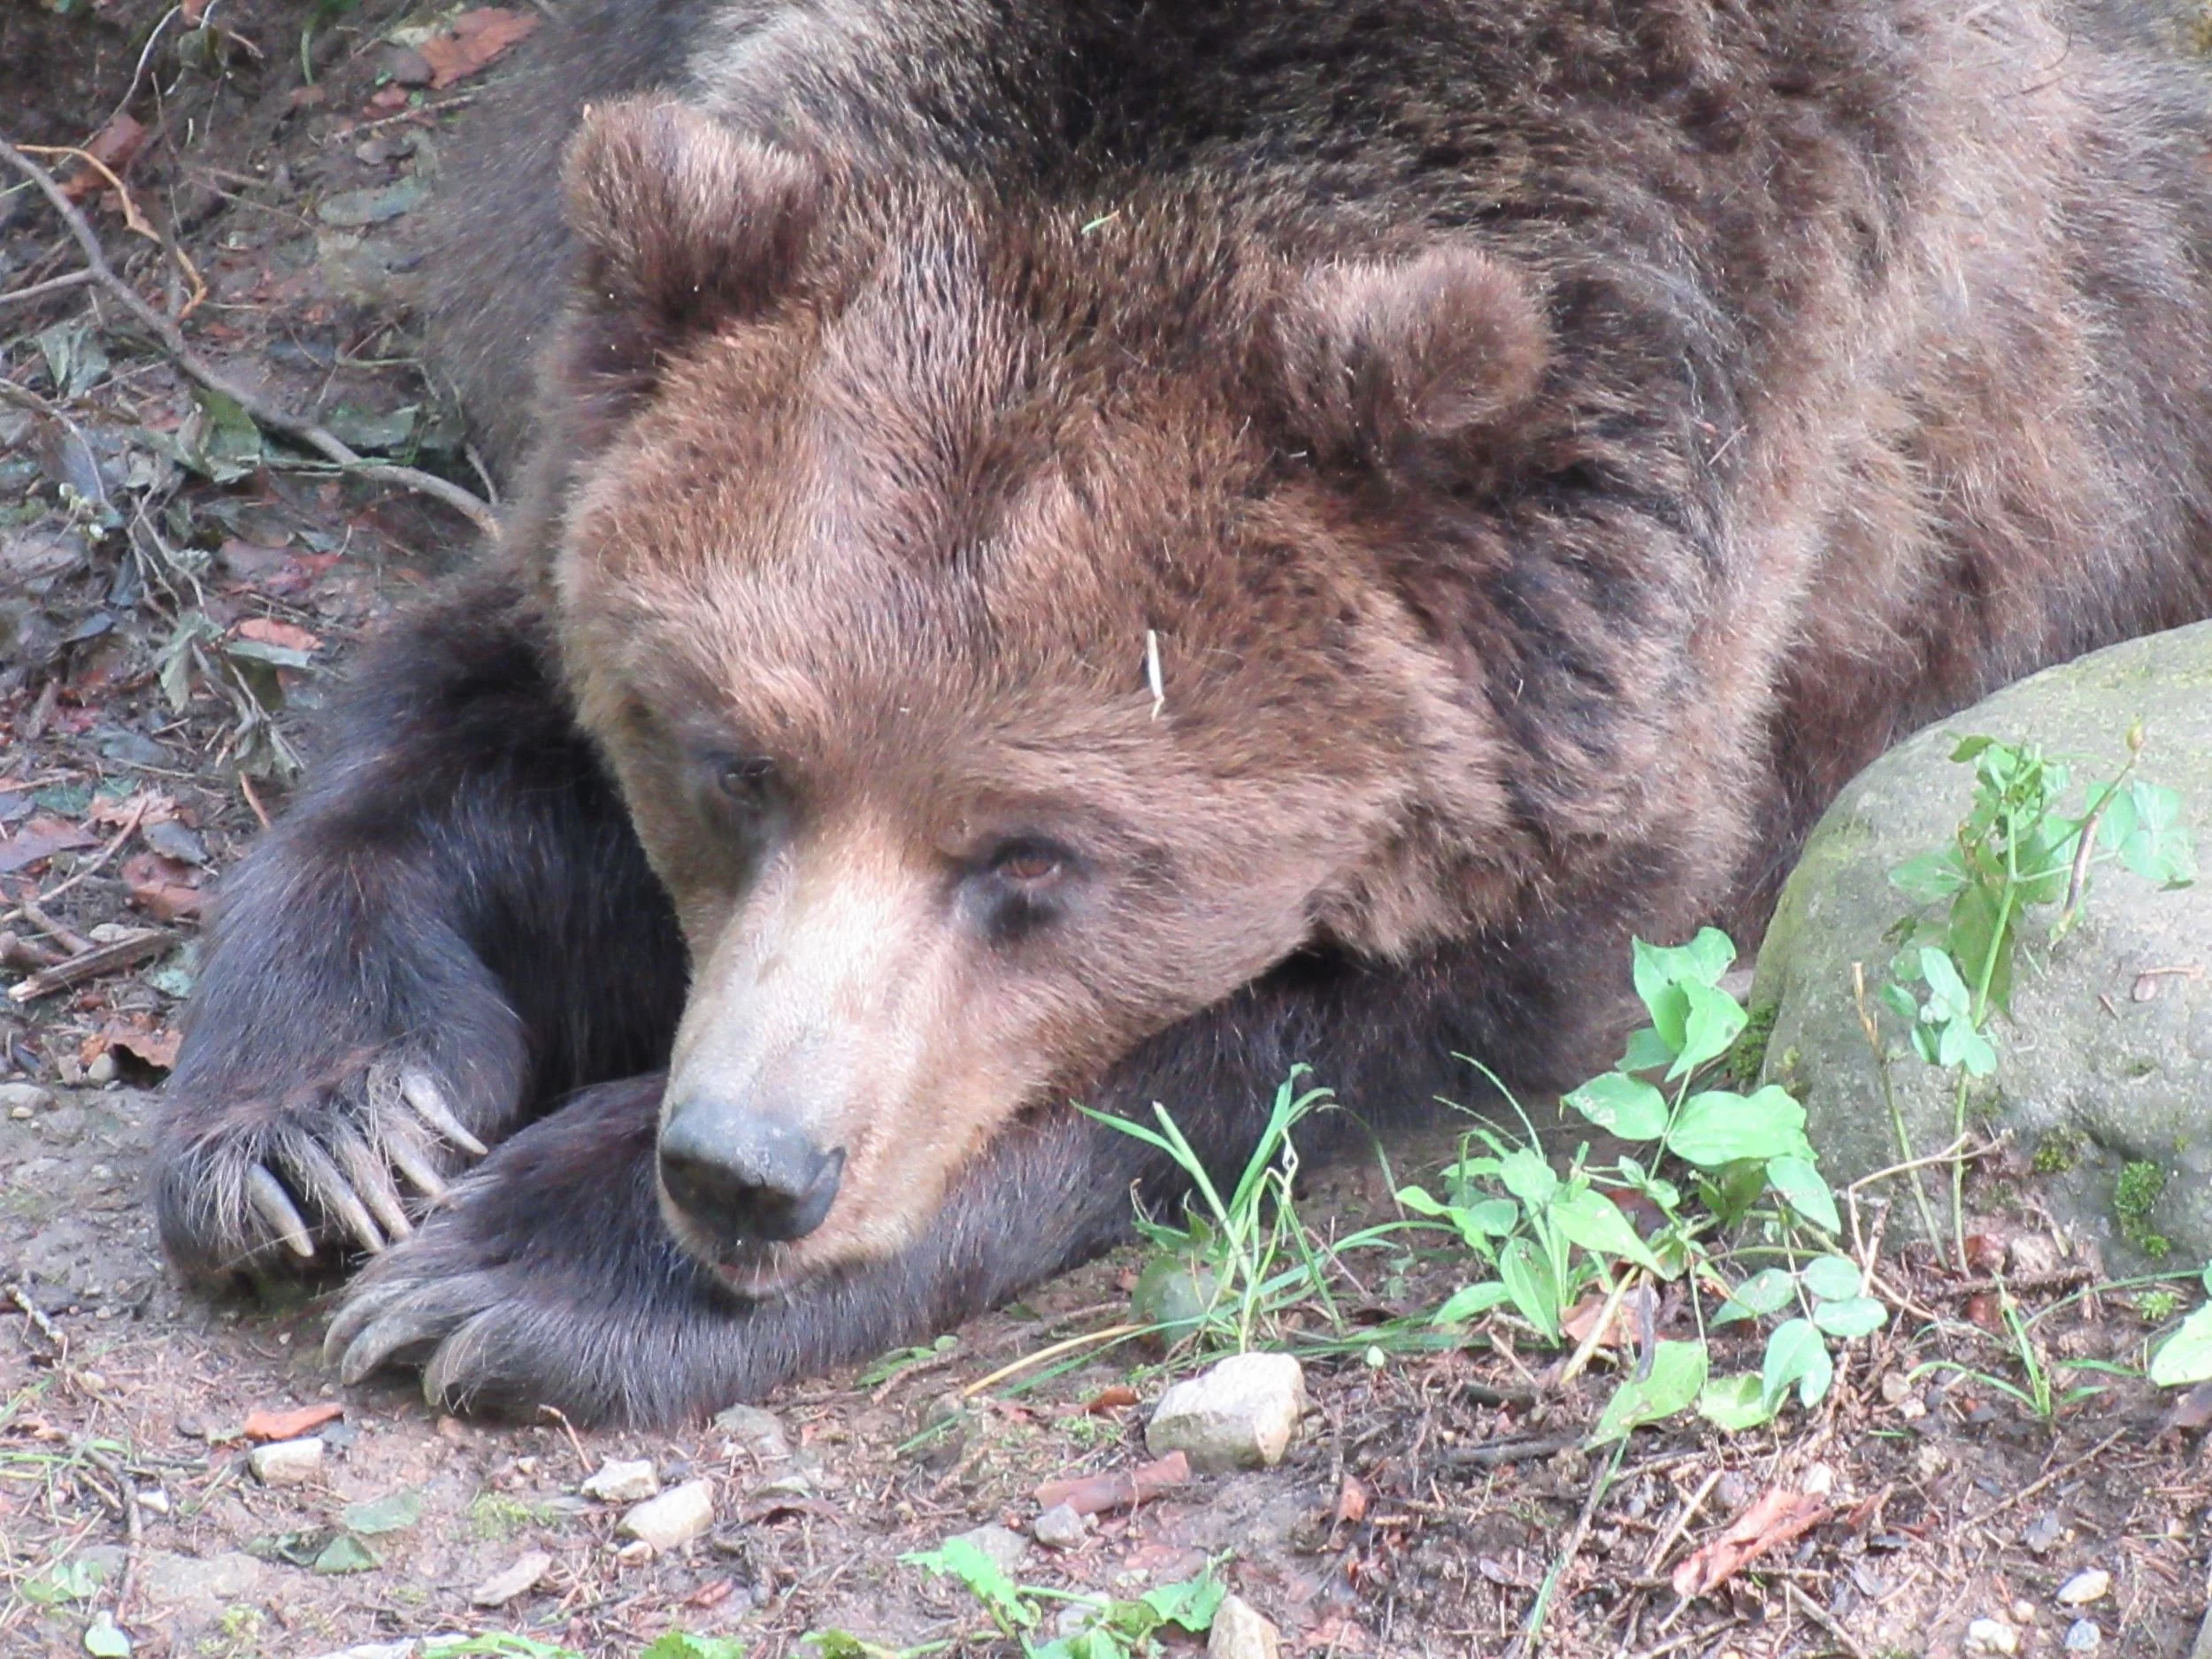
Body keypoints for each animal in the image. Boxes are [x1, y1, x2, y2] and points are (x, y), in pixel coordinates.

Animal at [154, 0, 2212, 1427]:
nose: (743, 1173)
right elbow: (463, 712)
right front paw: (326, 1120)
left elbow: (1307, 1026)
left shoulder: (1756, 590)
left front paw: (519, 1263)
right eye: (730, 763)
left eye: (1037, 854)